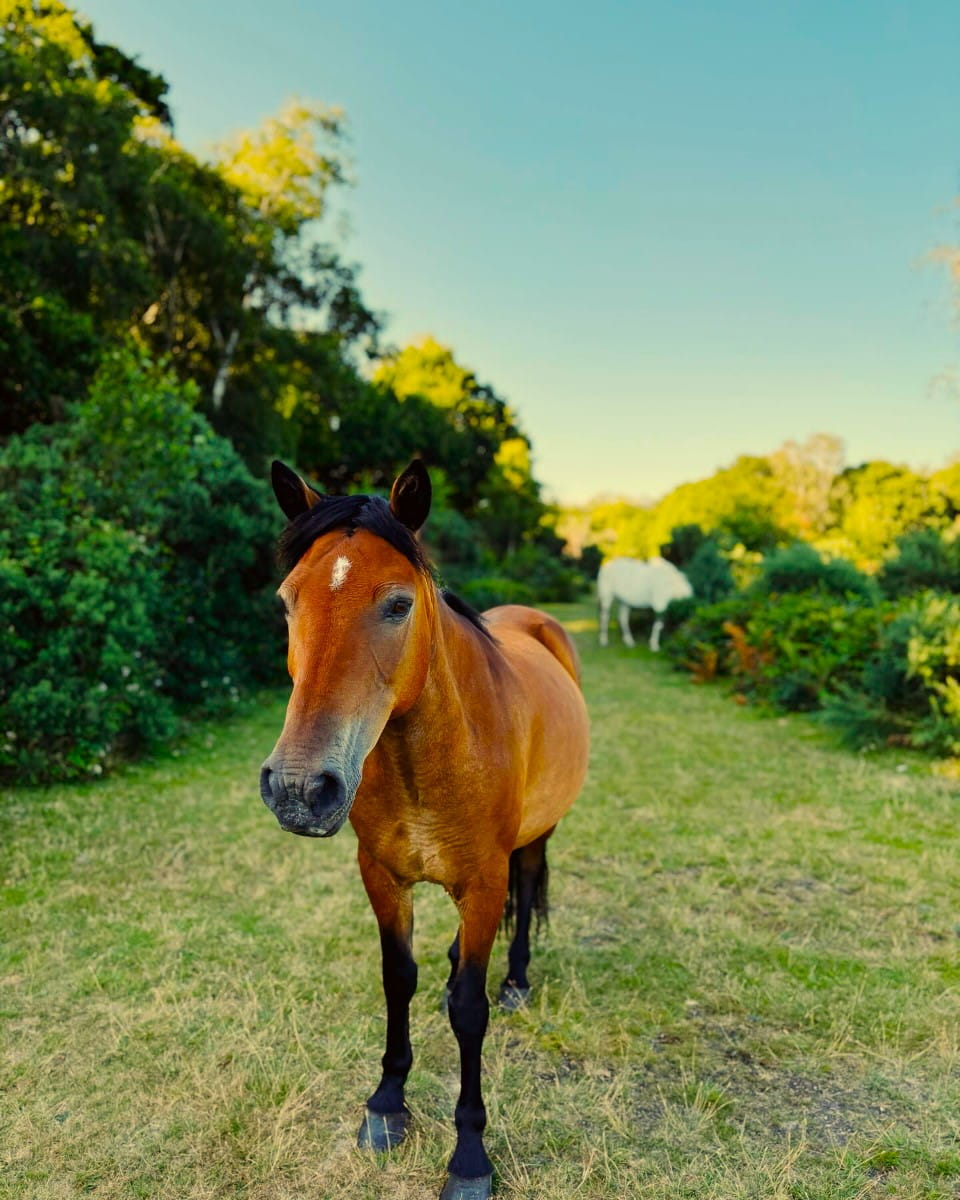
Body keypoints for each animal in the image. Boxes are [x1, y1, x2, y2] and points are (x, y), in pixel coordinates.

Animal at [259, 458, 588, 1200]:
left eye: (398, 604)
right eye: (287, 602)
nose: (298, 789)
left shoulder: (484, 882)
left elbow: (470, 1010)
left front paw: (469, 1157)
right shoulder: (381, 876)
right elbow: (397, 978)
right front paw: (386, 1105)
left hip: (536, 836)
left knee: (529, 887)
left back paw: (516, 980)